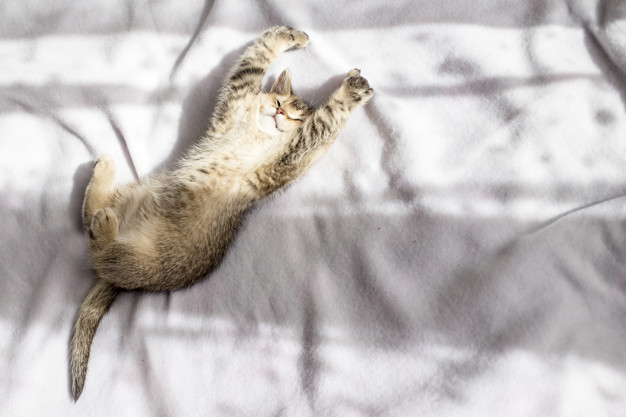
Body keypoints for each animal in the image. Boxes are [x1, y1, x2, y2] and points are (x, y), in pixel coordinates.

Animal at [69, 26, 370, 400]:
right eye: (279, 103)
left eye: (297, 116)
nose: (280, 115)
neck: (257, 131)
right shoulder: (236, 100)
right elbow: (257, 56)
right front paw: (292, 36)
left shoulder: (292, 155)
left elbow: (327, 119)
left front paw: (352, 90)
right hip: (133, 202)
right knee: (89, 220)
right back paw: (104, 174)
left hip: (143, 259)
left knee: (99, 249)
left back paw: (105, 221)